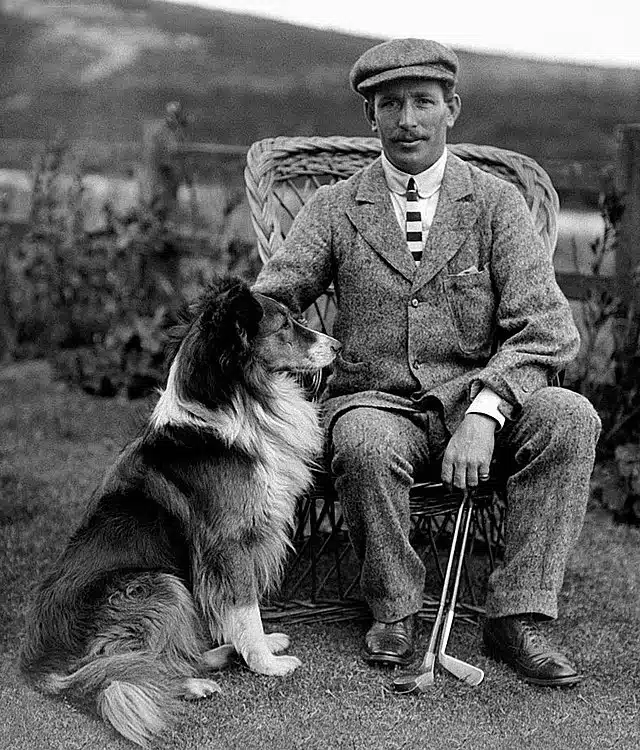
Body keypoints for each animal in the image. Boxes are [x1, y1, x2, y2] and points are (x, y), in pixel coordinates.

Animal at [20, 280, 340, 748]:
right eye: (284, 325)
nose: (337, 346)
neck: (236, 401)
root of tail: (38, 663)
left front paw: (260, 646)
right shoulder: (228, 542)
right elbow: (245, 606)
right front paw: (265, 662)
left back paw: (220, 654)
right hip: (160, 586)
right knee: (129, 667)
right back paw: (193, 682)